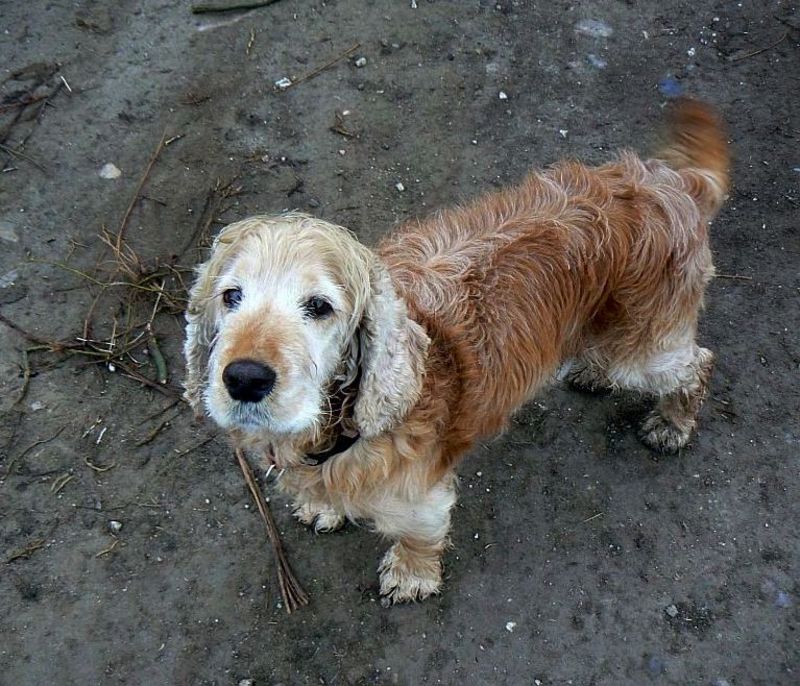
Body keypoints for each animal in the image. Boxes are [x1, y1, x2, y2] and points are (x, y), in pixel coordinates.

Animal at [184, 99, 729, 603]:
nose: (244, 378)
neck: (340, 429)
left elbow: (420, 534)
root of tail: (671, 182)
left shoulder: (420, 495)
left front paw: (411, 575)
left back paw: (672, 424)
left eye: (319, 306)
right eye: (231, 296)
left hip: (641, 348)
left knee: (696, 364)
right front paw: (324, 505)